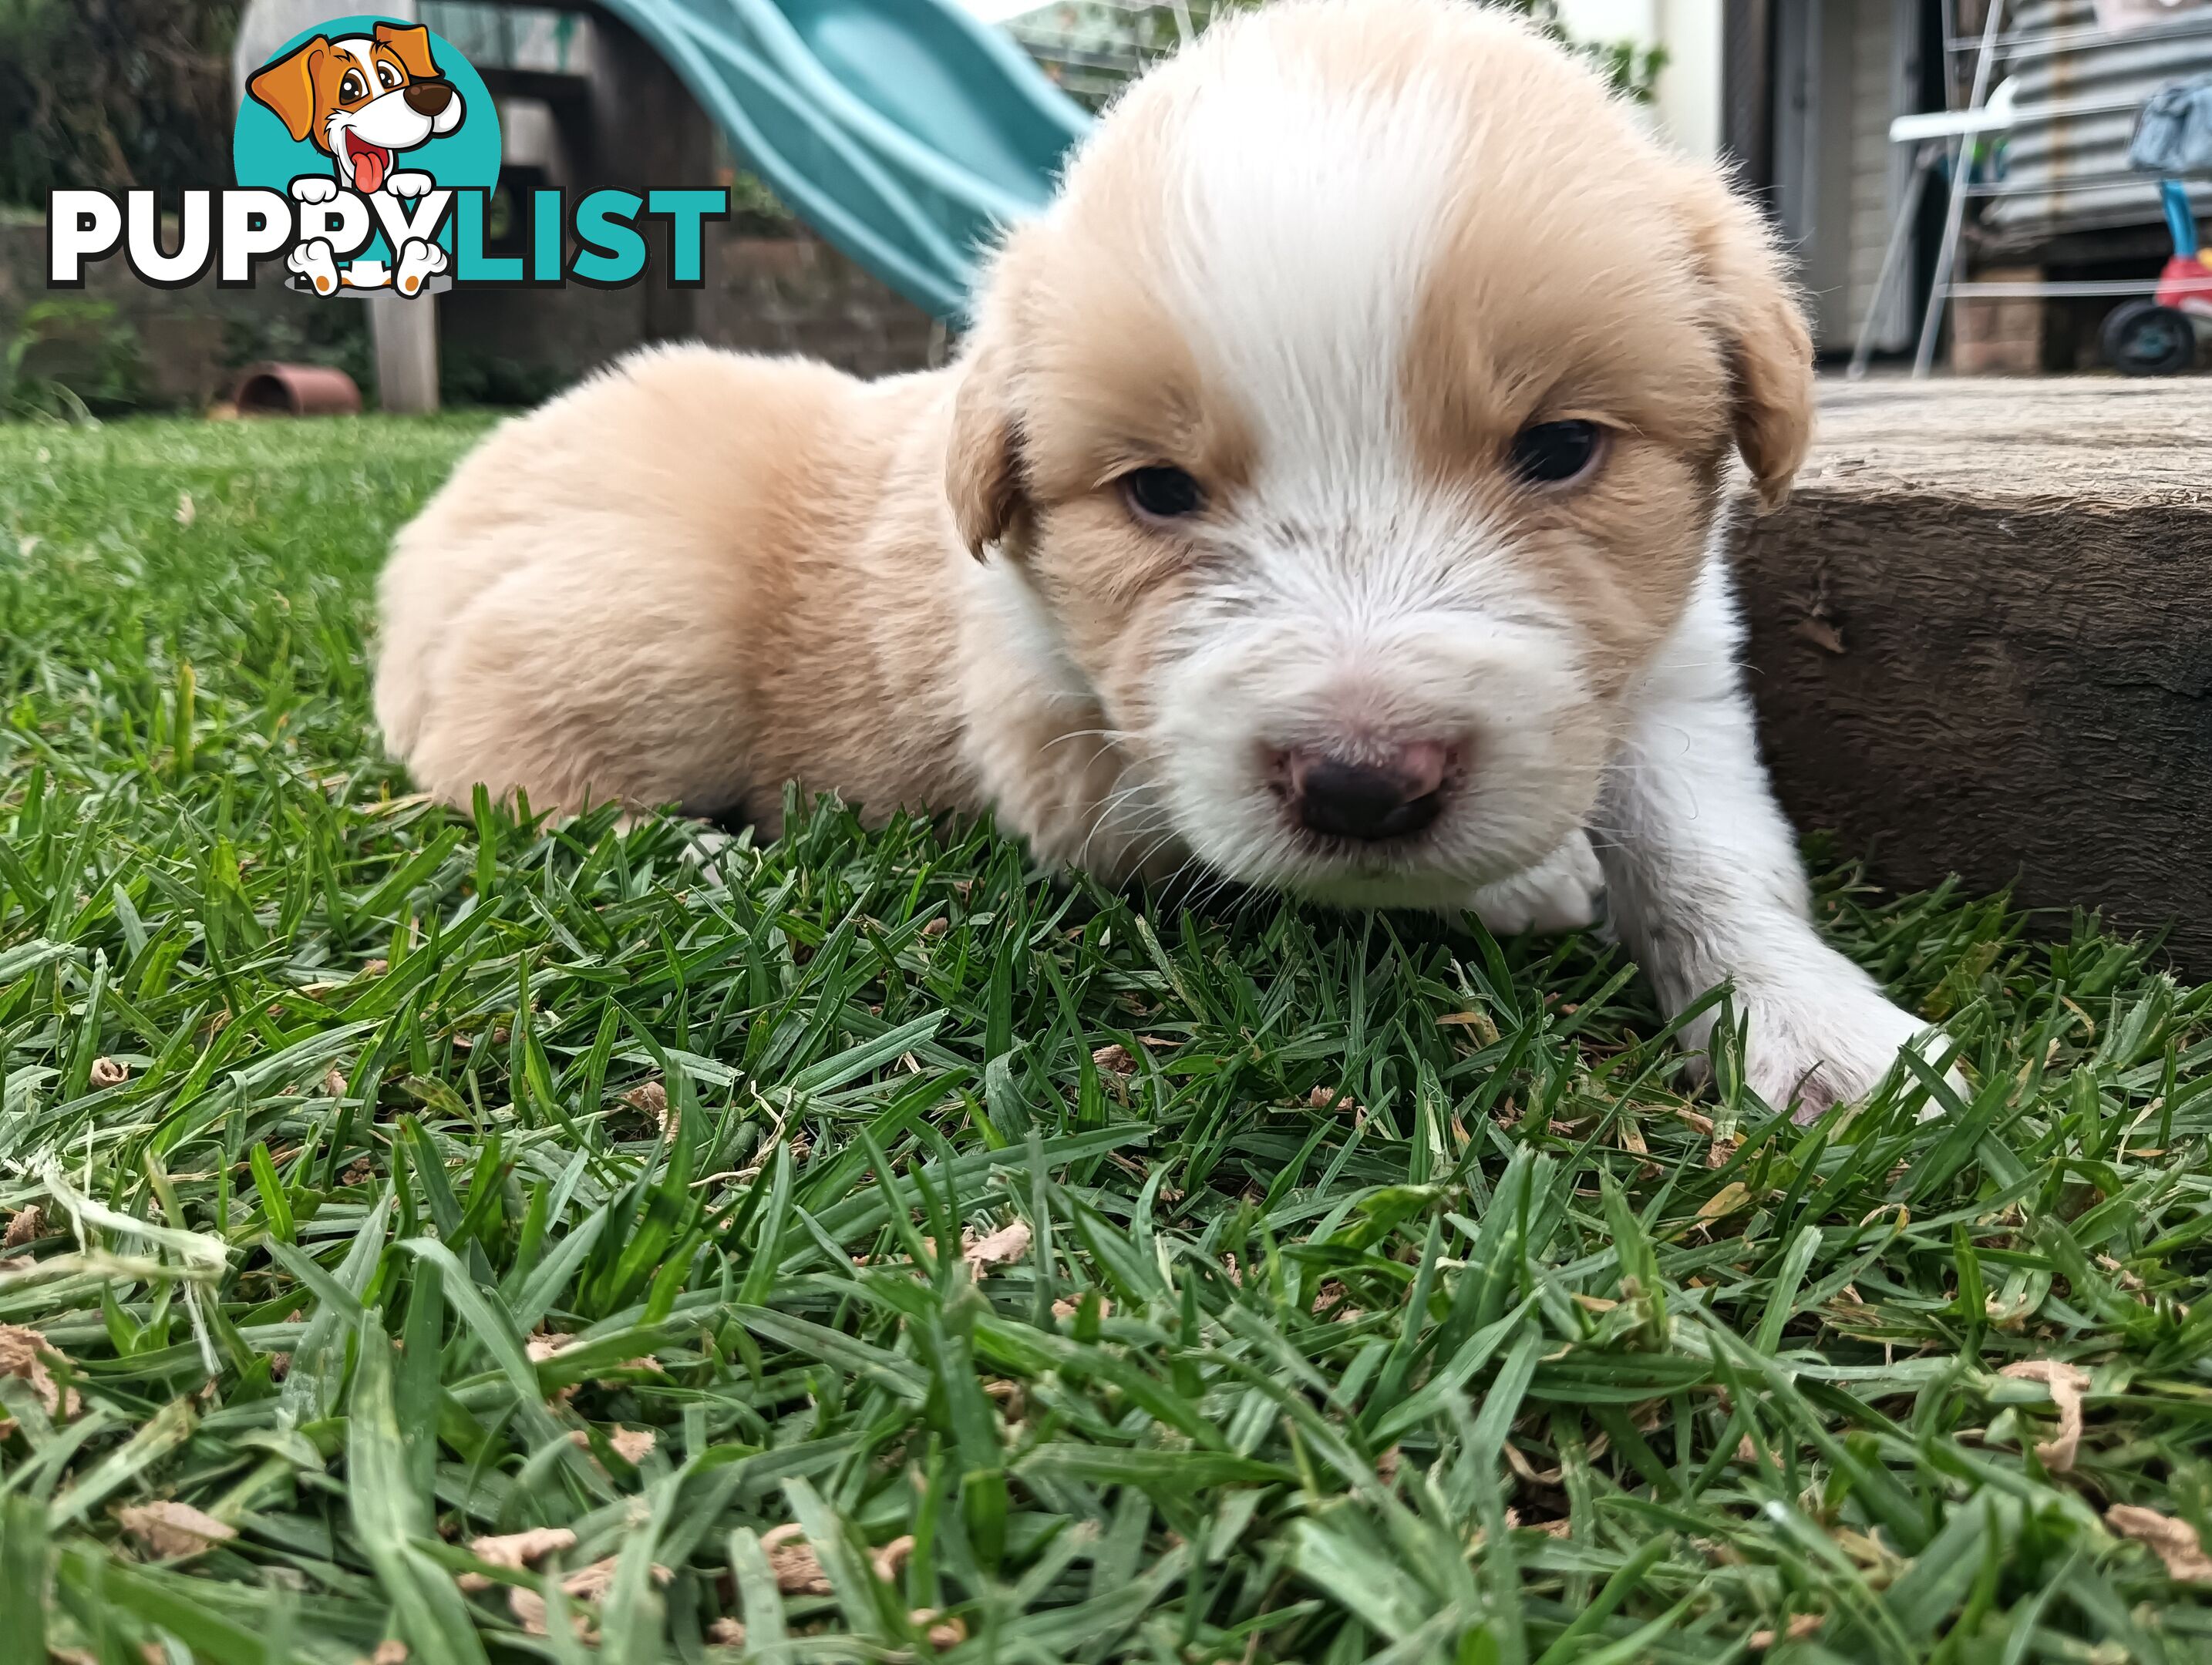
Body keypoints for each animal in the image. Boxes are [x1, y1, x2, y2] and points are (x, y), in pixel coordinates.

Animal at [375, 3, 1955, 1118]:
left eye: (1561, 449)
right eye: (1155, 490)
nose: (1365, 781)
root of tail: (432, 521)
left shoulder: (1675, 678)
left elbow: (1713, 858)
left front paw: (1831, 1038)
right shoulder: (1070, 749)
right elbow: (1267, 840)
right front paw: (1533, 882)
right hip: (648, 627)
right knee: (496, 768)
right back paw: (695, 855)